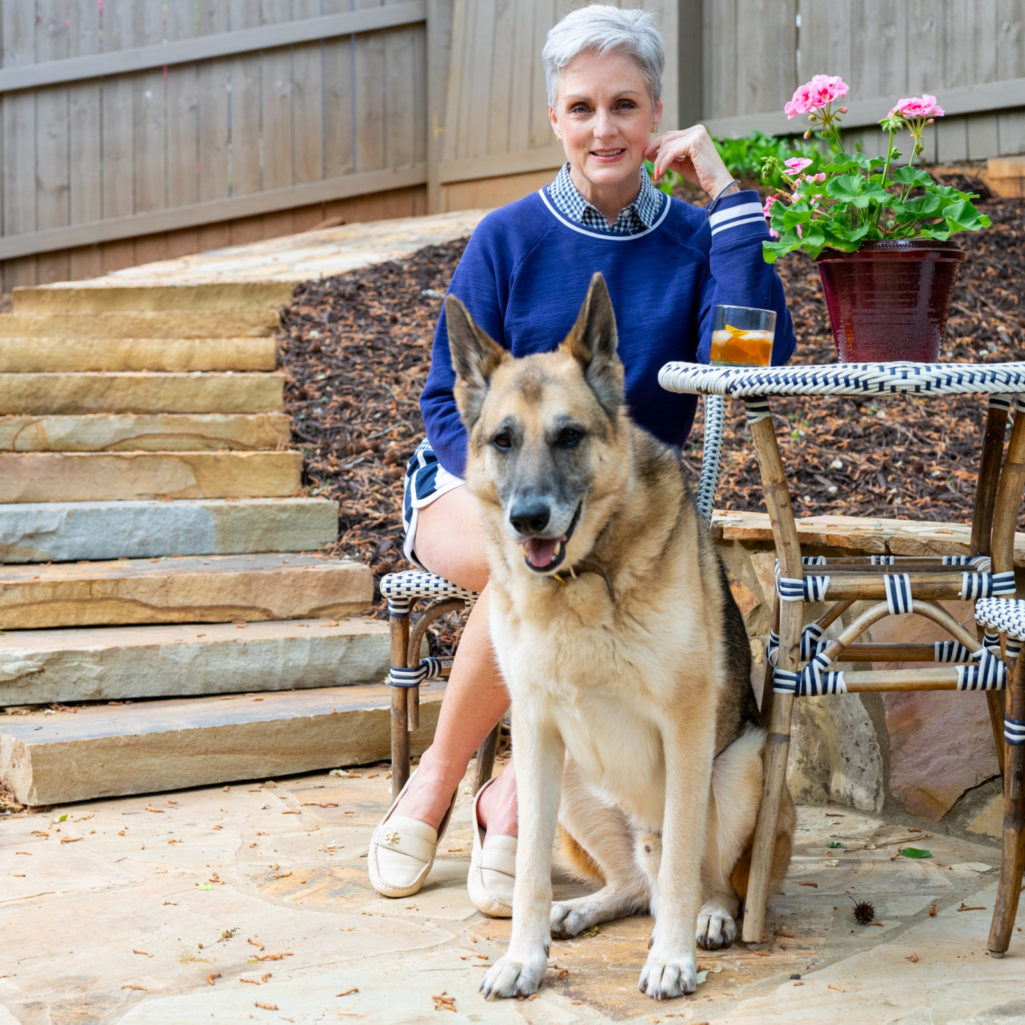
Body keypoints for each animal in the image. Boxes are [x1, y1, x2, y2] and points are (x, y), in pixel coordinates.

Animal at [446, 274, 791, 1000]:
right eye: (502, 441)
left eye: (569, 435)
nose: (527, 519)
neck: (578, 579)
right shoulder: (537, 732)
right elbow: (527, 873)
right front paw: (524, 957)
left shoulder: (686, 729)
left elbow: (685, 858)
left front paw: (671, 959)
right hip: (574, 776)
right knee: (634, 884)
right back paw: (579, 909)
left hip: (740, 765)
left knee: (696, 876)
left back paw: (708, 918)